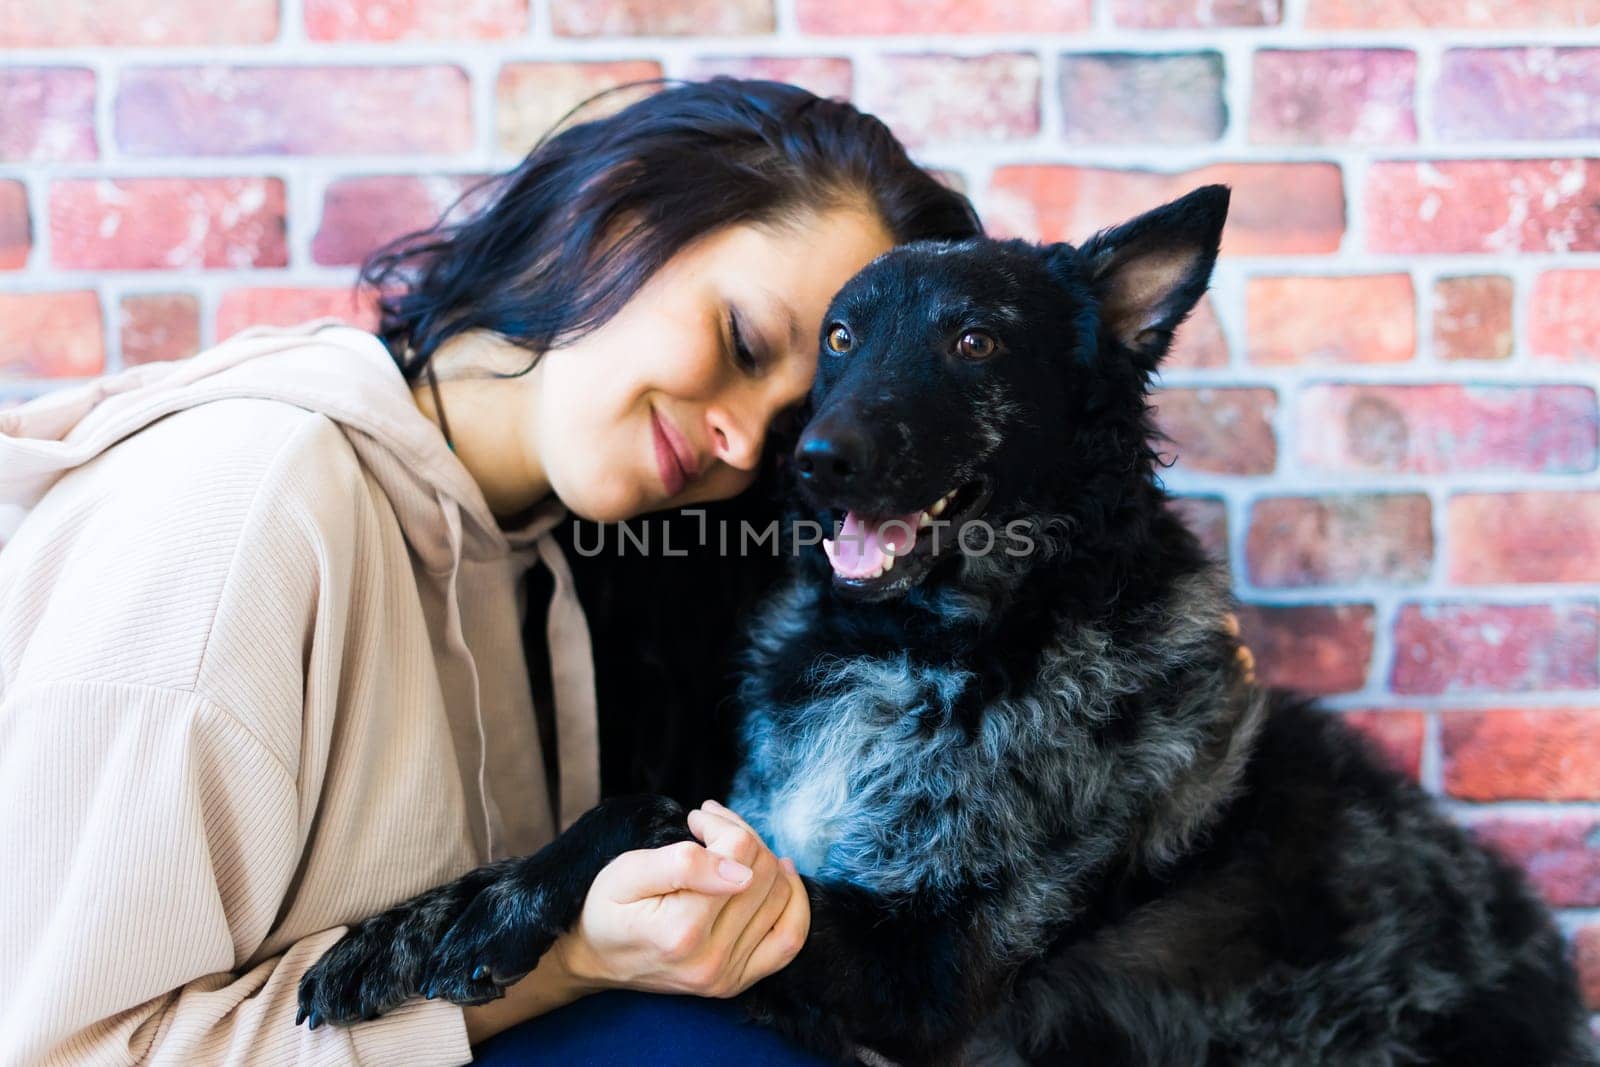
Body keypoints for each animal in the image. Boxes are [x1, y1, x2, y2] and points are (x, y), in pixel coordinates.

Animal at [297, 187, 1587, 1062]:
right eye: (837, 337)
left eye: (974, 339)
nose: (815, 463)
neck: (922, 650)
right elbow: (631, 804)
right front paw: (415, 922)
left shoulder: (929, 985)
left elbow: (655, 808)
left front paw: (488, 916)